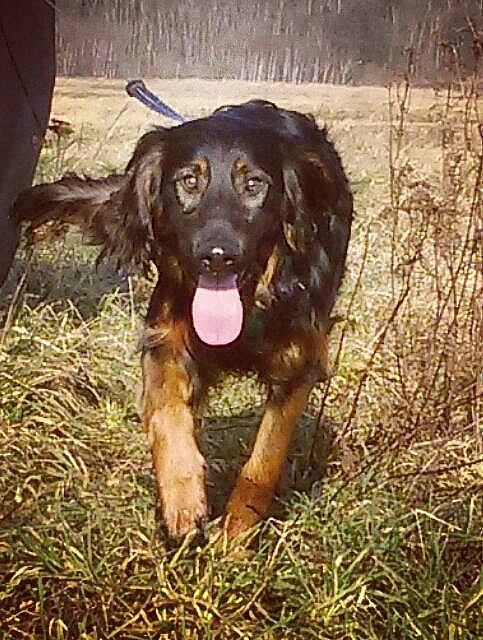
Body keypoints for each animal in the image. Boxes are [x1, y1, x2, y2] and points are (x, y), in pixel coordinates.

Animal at [13, 100, 352, 540]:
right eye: (189, 181)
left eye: (254, 184)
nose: (218, 257)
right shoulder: (165, 337)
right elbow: (166, 413)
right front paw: (182, 496)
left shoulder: (297, 362)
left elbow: (264, 463)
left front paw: (234, 540)